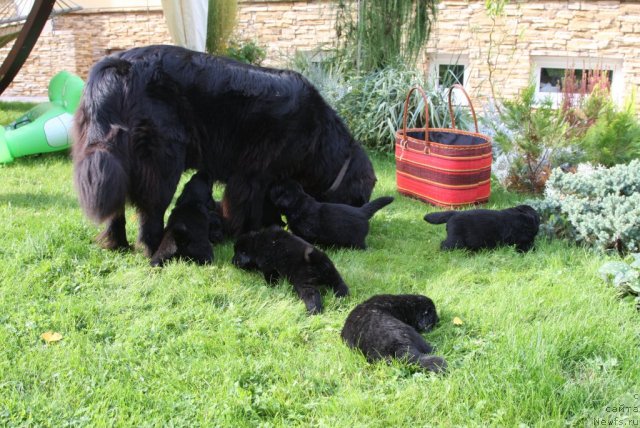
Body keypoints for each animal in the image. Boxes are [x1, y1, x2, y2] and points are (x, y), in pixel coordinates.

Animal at [72, 45, 378, 256]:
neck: (319, 137)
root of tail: (119, 66)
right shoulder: (254, 174)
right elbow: (249, 207)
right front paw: (248, 230)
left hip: (115, 162)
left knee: (116, 209)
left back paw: (117, 245)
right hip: (164, 162)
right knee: (151, 213)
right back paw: (155, 247)